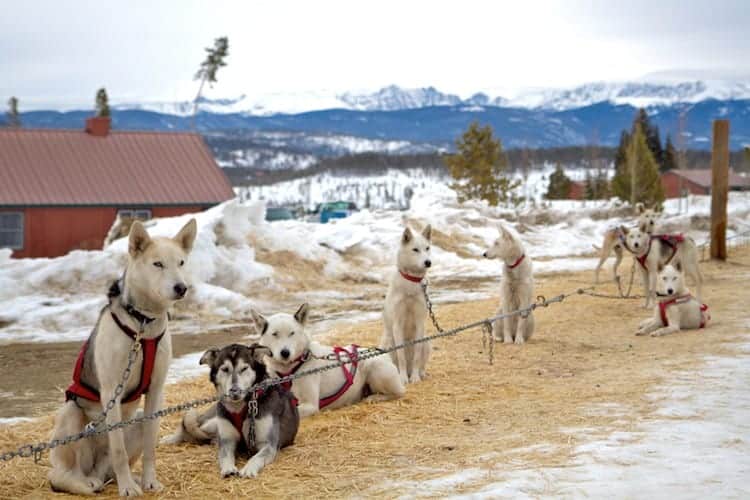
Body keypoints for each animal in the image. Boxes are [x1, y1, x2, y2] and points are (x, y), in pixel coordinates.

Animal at [48, 219, 198, 496]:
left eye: (181, 262)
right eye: (157, 264)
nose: (181, 288)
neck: (143, 323)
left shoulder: (156, 392)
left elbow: (150, 446)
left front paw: (149, 481)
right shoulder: (111, 392)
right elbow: (117, 449)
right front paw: (127, 488)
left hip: (134, 422)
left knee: (106, 468)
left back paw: (119, 478)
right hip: (70, 414)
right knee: (61, 474)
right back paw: (84, 483)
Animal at [254, 304, 408, 418]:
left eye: (292, 333)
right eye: (275, 334)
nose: (285, 353)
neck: (288, 371)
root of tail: (382, 353)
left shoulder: (310, 405)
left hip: (375, 368)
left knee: (399, 393)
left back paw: (375, 398)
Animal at [382, 225, 434, 384]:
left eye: (427, 248)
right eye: (415, 249)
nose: (428, 262)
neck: (411, 281)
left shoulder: (420, 323)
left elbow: (417, 354)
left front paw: (415, 378)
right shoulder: (397, 324)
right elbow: (401, 356)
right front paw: (403, 378)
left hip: (427, 342)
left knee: (421, 362)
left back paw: (420, 374)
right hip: (387, 343)